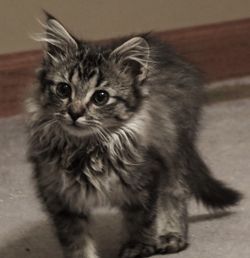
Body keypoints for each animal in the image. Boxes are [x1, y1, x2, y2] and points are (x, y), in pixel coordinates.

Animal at [25, 13, 242, 258]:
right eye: (64, 89)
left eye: (100, 97)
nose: (75, 112)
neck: (88, 149)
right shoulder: (59, 197)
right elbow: (76, 240)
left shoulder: (147, 182)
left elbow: (140, 222)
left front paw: (138, 247)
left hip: (174, 153)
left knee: (175, 193)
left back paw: (171, 235)